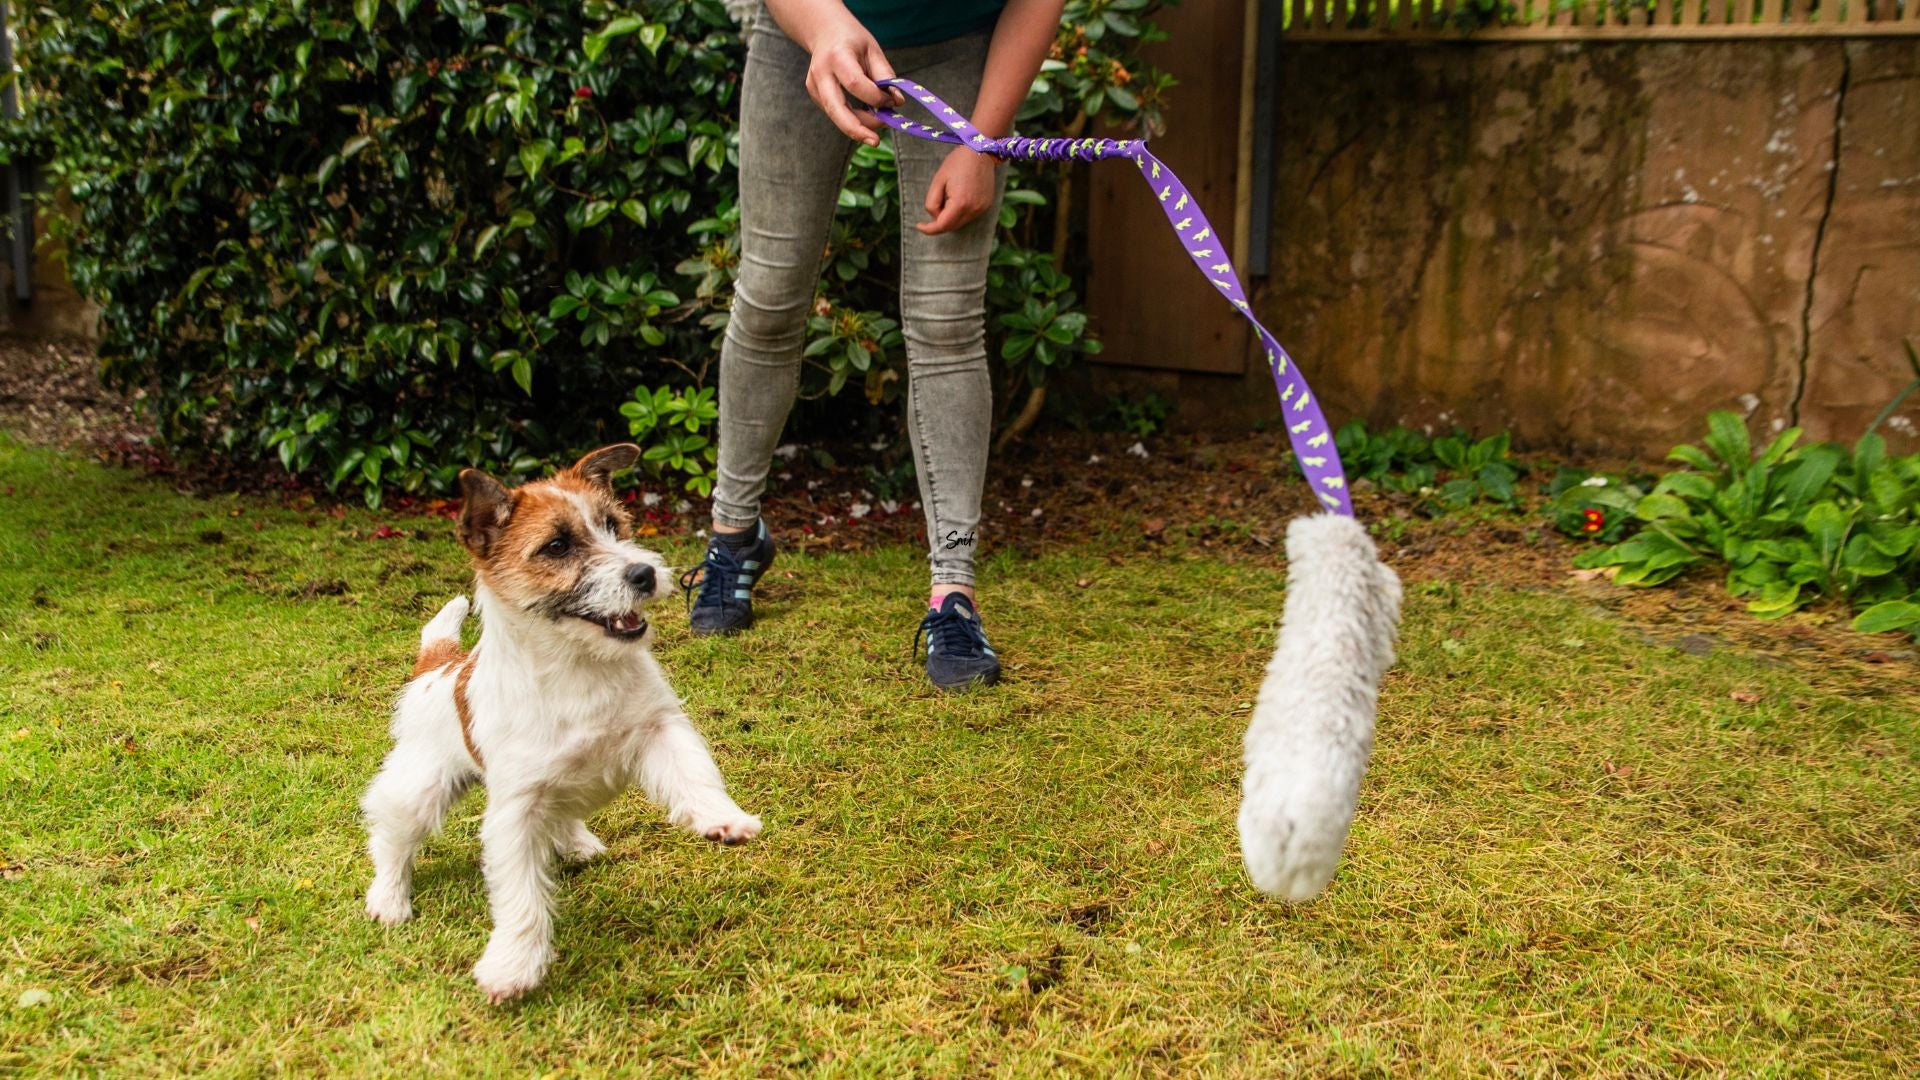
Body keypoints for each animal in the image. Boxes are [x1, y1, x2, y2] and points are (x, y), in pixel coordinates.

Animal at [360, 444, 762, 1003]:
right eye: (557, 546)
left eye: (613, 525)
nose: (643, 574)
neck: (577, 666)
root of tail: (438, 665)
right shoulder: (515, 814)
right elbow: (521, 900)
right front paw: (513, 966)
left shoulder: (661, 729)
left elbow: (696, 776)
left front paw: (722, 817)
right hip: (419, 788)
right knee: (391, 838)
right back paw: (389, 897)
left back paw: (575, 840)